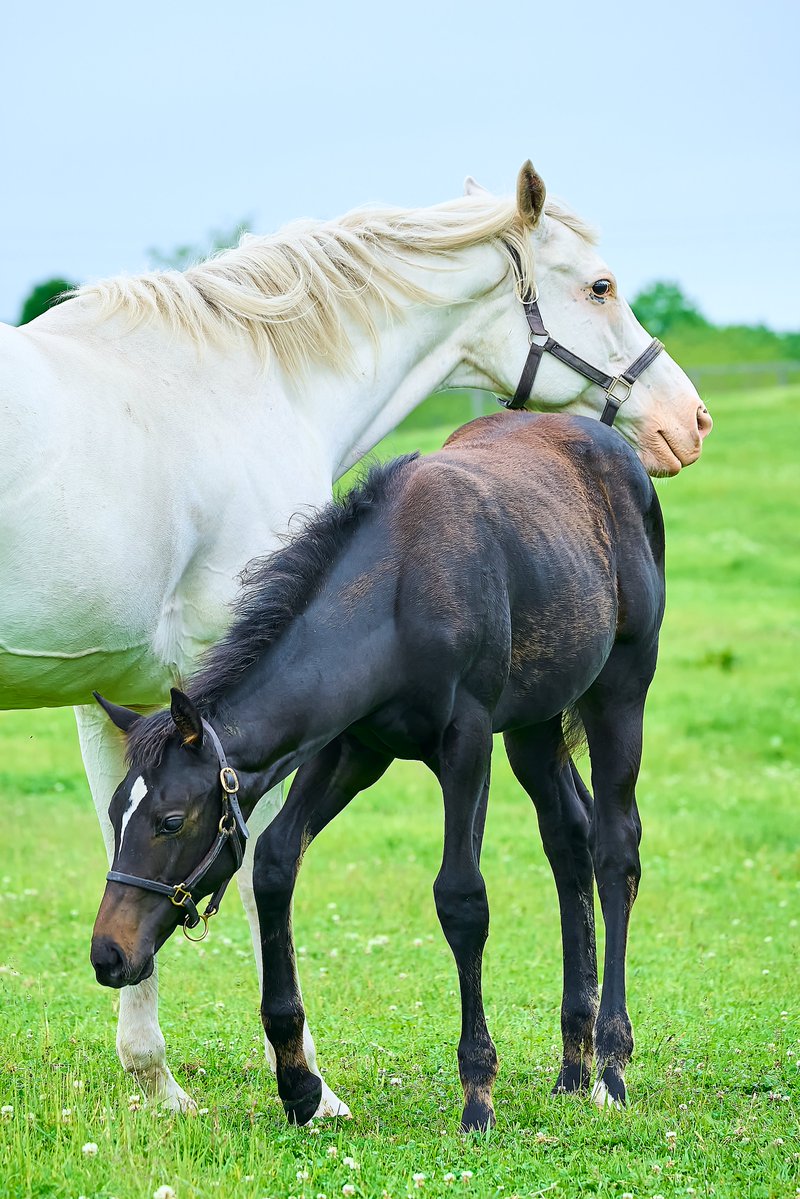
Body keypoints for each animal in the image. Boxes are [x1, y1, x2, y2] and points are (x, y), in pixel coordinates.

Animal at [90, 409, 666, 1131]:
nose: (108, 953)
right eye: (117, 811)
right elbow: (274, 860)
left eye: (170, 820)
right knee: (569, 837)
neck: (398, 590)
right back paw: (573, 1064)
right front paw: (299, 1085)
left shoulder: (466, 739)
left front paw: (477, 1093)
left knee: (616, 847)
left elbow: (462, 898)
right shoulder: (351, 747)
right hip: (534, 724)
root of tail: (614, 443)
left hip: (620, 689)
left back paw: (610, 1065)